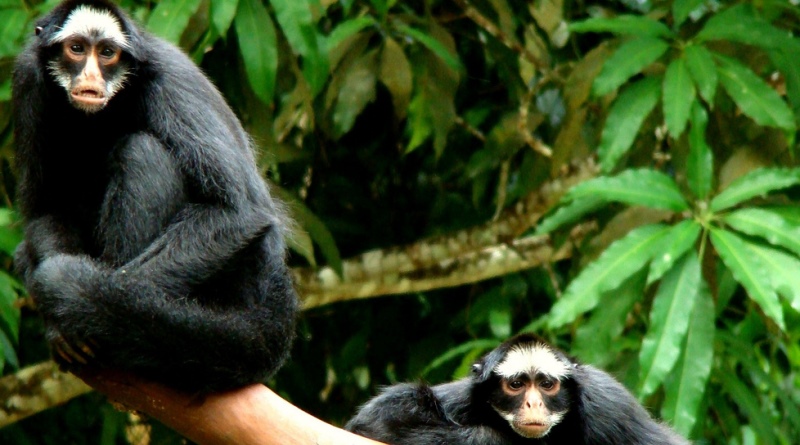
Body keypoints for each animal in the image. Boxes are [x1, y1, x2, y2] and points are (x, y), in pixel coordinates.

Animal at [11, 0, 300, 392]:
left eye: (107, 53)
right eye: (77, 49)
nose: (91, 75)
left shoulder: (169, 77)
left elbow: (238, 212)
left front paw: (89, 304)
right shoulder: (28, 79)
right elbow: (46, 208)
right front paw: (61, 325)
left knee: (142, 151)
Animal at [344, 334, 688, 444]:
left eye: (547, 385)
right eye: (516, 385)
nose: (533, 404)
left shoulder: (608, 405)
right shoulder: (465, 398)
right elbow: (380, 417)